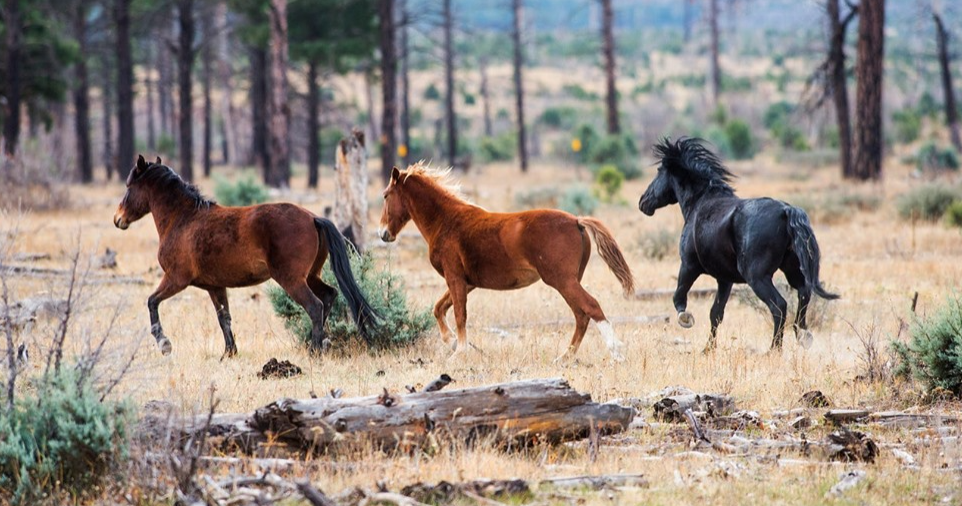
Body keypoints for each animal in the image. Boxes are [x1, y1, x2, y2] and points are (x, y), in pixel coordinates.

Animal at [114, 156, 376, 358]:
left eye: (129, 187)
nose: (118, 219)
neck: (183, 219)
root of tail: (313, 218)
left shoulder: (176, 279)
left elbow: (152, 302)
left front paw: (164, 344)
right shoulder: (215, 287)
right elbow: (224, 318)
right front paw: (229, 353)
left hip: (292, 280)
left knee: (315, 306)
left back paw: (314, 350)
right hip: (311, 275)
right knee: (329, 296)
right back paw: (323, 343)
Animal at [376, 164, 636, 362]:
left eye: (386, 195)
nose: (383, 233)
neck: (446, 221)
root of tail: (577, 220)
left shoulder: (455, 278)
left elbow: (459, 314)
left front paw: (459, 352)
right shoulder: (467, 282)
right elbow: (439, 308)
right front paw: (452, 343)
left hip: (562, 281)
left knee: (591, 307)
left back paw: (617, 353)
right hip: (569, 282)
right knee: (581, 316)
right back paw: (564, 357)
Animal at [640, 138, 836, 352]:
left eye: (659, 171)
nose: (643, 202)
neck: (700, 203)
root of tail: (786, 211)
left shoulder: (689, 266)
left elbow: (679, 296)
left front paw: (686, 320)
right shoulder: (724, 279)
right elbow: (716, 313)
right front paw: (708, 349)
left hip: (757, 277)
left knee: (779, 305)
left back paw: (774, 350)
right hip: (792, 269)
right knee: (803, 294)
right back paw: (803, 336)